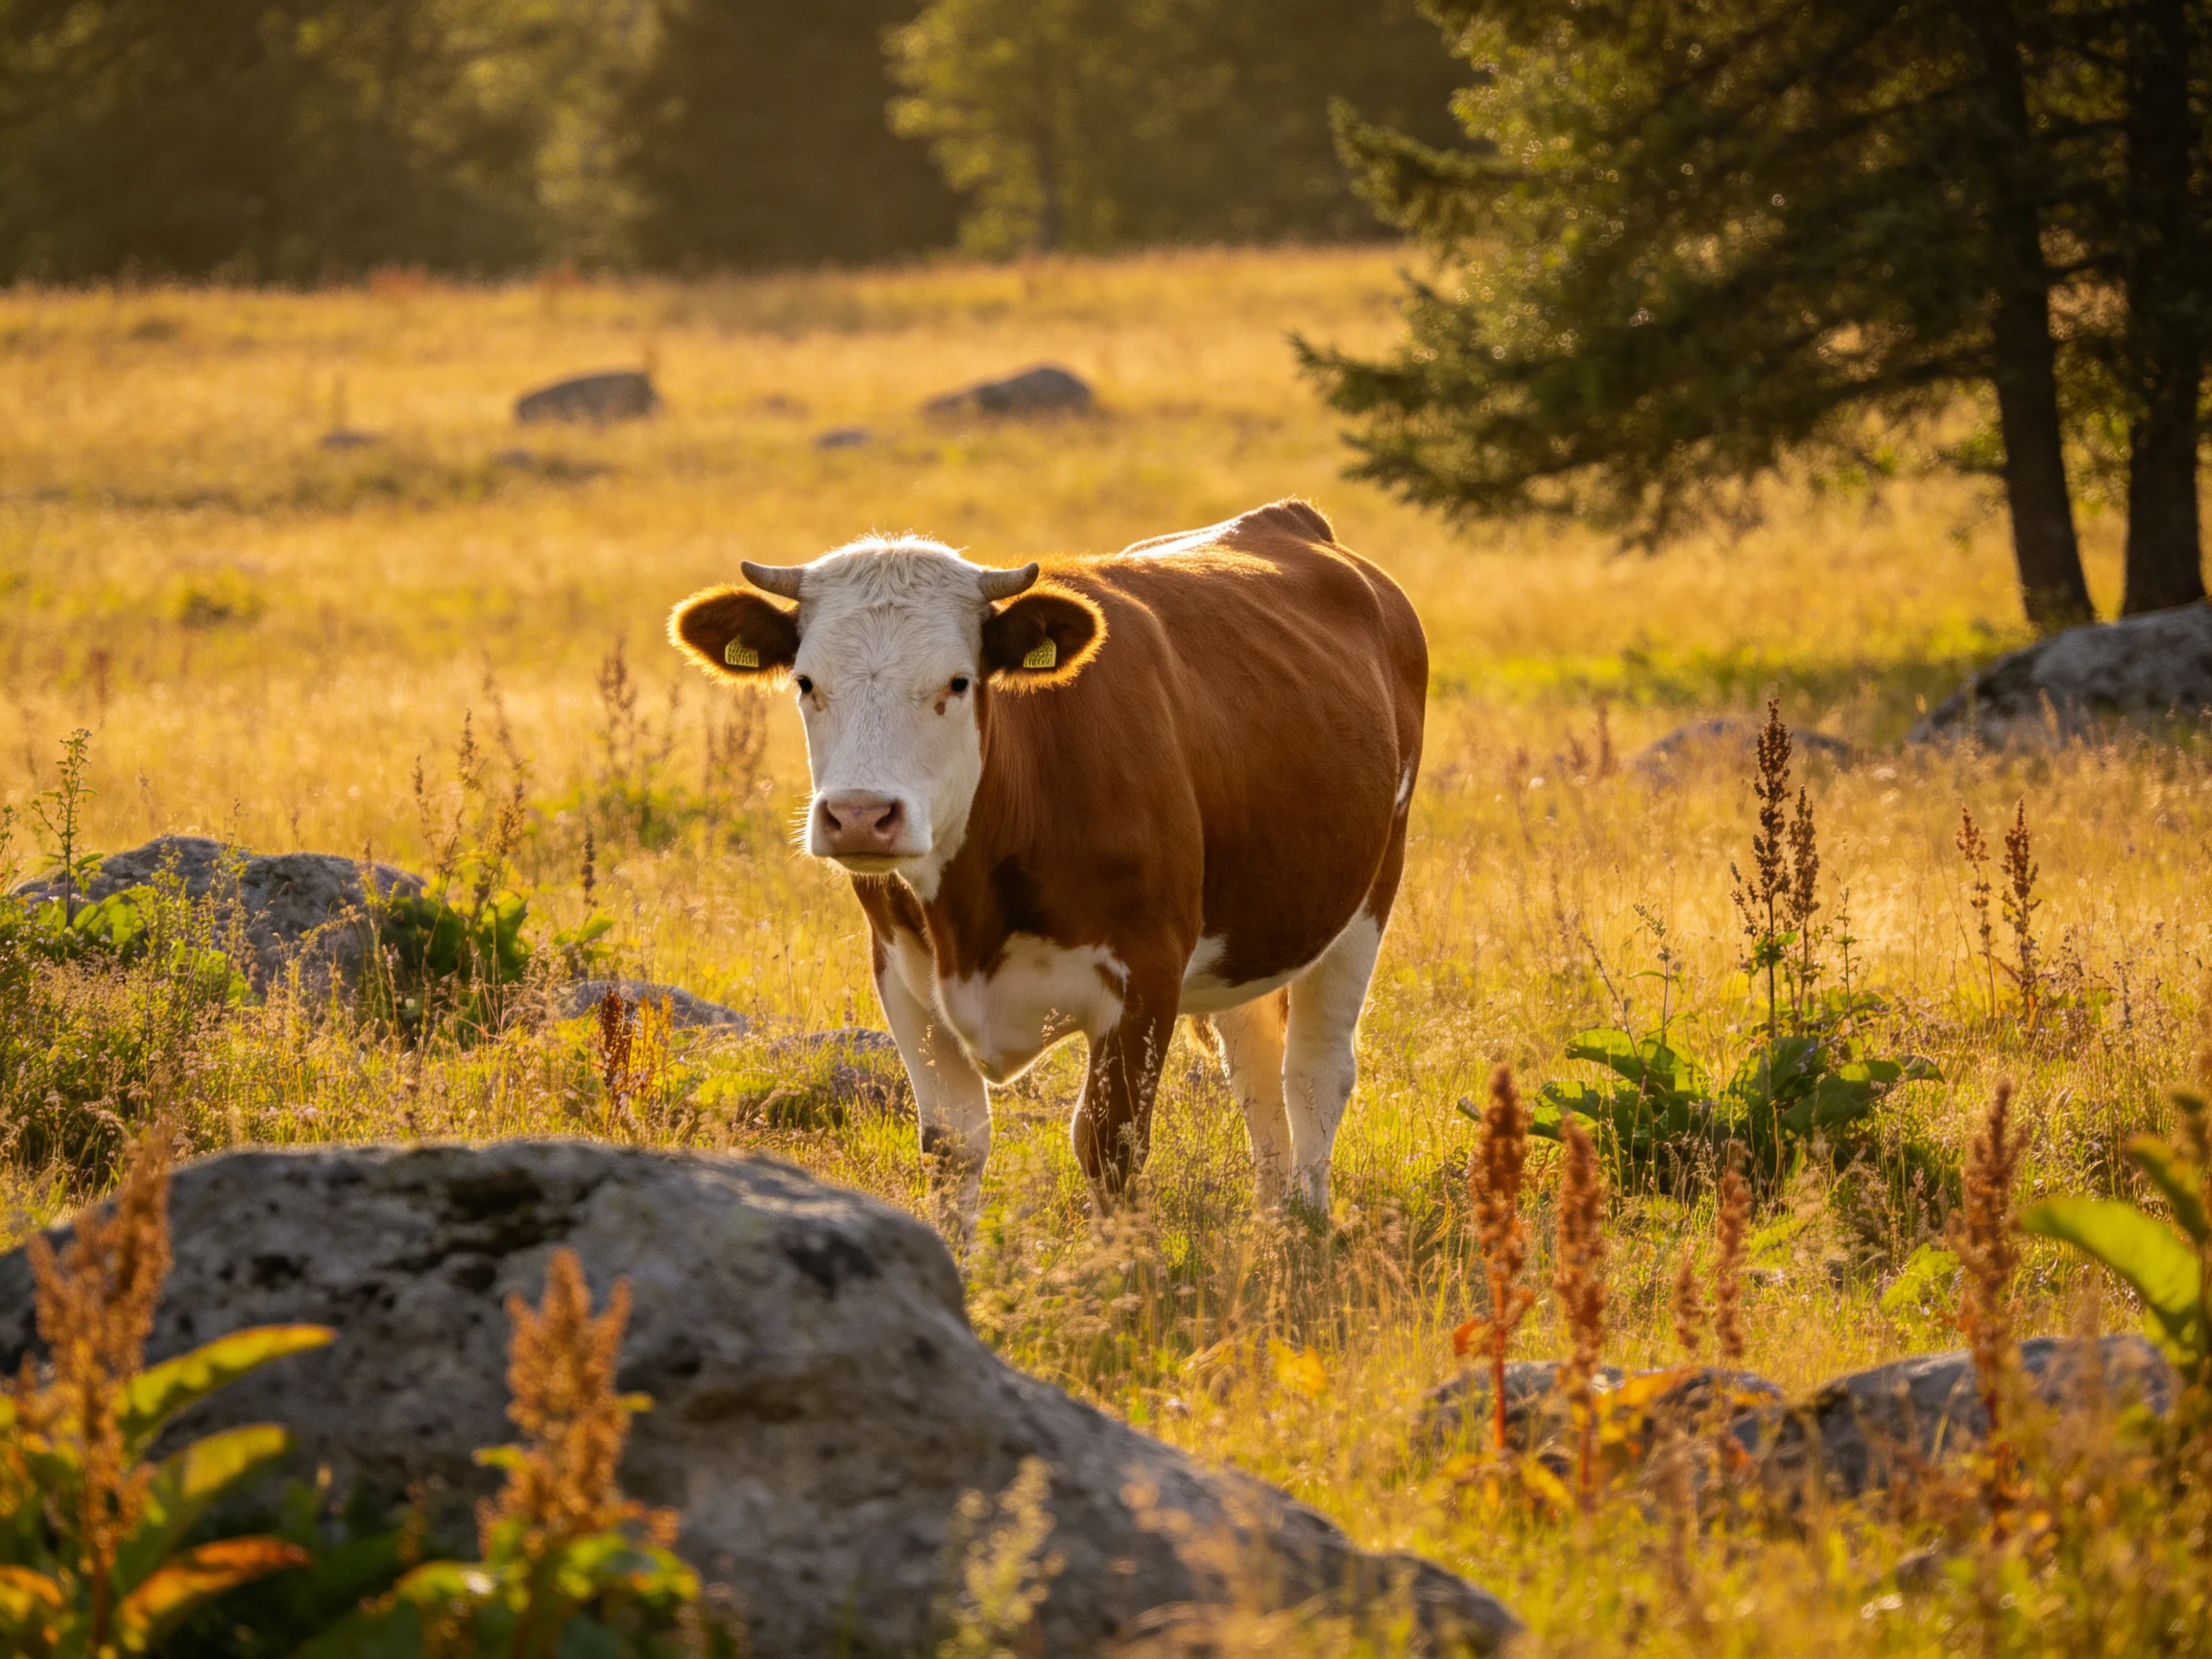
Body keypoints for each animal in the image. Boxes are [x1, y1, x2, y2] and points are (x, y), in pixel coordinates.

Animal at [668, 500, 1426, 1230]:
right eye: (806, 681)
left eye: (958, 681)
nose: (859, 814)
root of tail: (1288, 518)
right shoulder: (902, 974)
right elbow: (952, 1145)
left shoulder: (1146, 973)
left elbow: (1109, 1145)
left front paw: (1125, 1270)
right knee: (1254, 1065)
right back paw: (1272, 1219)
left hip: (1368, 894)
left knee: (1315, 1071)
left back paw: (1306, 1223)